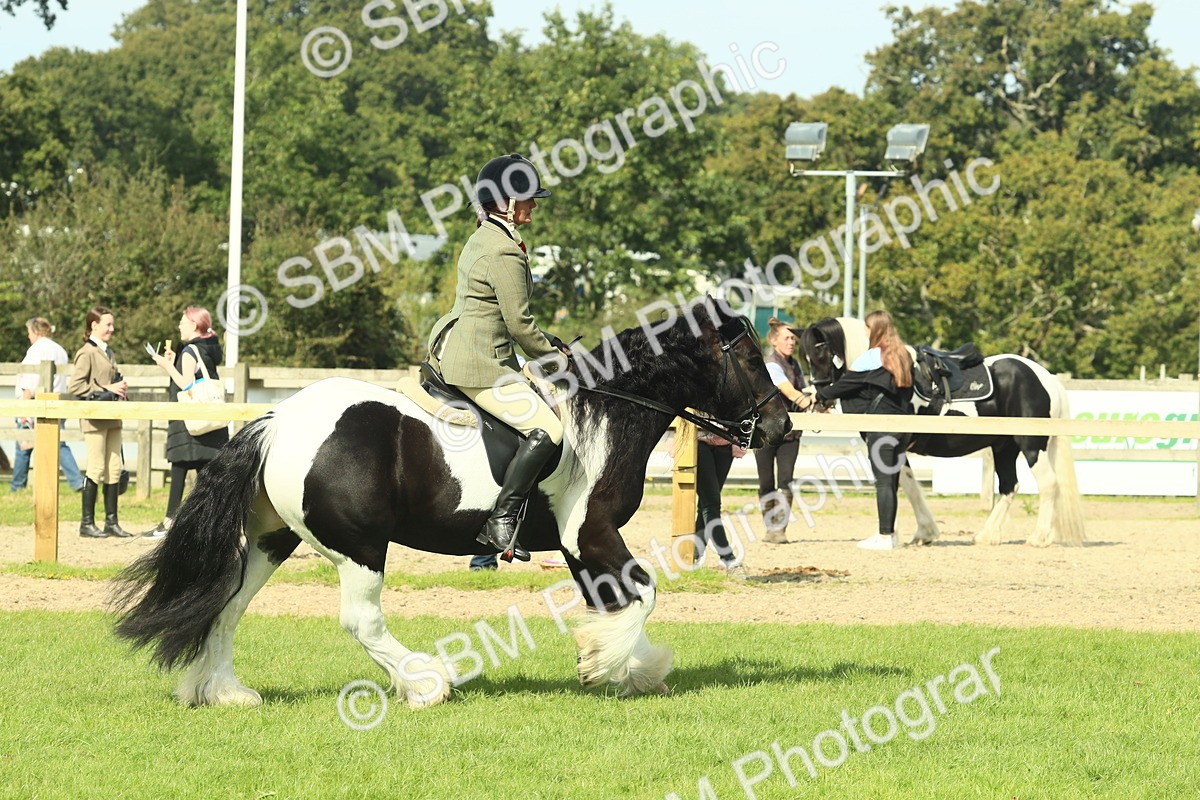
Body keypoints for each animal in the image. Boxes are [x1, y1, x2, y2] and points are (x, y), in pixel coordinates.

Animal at [111, 301, 791, 709]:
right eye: (749, 357)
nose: (782, 424)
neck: (609, 407)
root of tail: (277, 420)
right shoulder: (591, 533)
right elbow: (645, 594)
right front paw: (605, 663)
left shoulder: (580, 547)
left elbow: (617, 600)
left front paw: (627, 664)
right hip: (359, 546)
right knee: (361, 621)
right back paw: (428, 682)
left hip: (274, 540)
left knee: (227, 607)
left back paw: (225, 691)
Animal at [794, 317, 1085, 547]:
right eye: (804, 357)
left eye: (820, 353)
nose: (818, 395)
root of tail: (1045, 377)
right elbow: (908, 485)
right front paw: (924, 533)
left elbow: (898, 484)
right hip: (1004, 447)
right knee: (1008, 486)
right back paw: (987, 535)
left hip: (1032, 445)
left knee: (1048, 484)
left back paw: (1038, 537)